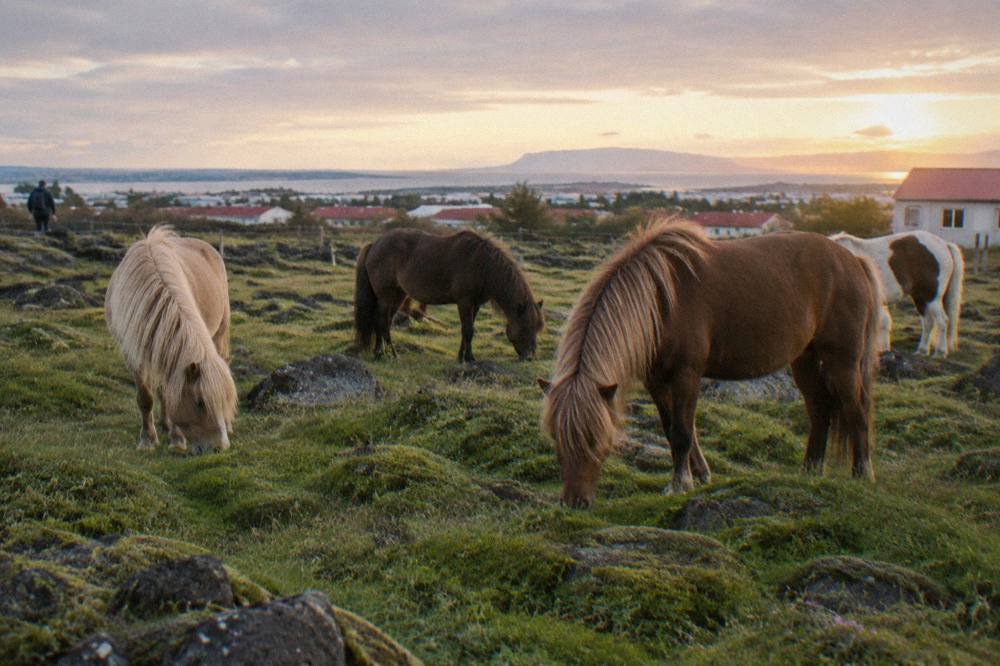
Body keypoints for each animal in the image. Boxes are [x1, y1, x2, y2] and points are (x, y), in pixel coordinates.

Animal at [105, 226, 237, 453]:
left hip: (220, 332)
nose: (219, 447)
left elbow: (169, 392)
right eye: (200, 402)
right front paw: (148, 440)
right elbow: (146, 397)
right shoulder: (133, 353)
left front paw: (177, 438)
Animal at [354, 228, 544, 362]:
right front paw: (468, 359)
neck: (483, 265)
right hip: (385, 296)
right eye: (526, 326)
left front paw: (463, 356)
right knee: (380, 320)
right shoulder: (464, 302)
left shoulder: (475, 304)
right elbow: (468, 330)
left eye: (537, 328)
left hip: (398, 295)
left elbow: (467, 330)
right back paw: (388, 354)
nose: (529, 357)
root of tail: (374, 244)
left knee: (384, 321)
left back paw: (382, 353)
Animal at [539, 221, 883, 508]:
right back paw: (810, 470)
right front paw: (700, 474)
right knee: (820, 409)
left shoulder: (687, 375)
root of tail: (853, 260)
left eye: (595, 438)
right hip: (805, 359)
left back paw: (862, 473)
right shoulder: (656, 380)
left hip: (842, 360)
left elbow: (682, 432)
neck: (661, 301)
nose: (574, 502)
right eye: (557, 439)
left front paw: (680, 484)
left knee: (856, 409)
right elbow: (671, 429)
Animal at [831, 231, 964, 357]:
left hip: (932, 297)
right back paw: (922, 351)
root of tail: (944, 244)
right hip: (920, 297)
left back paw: (940, 352)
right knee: (928, 322)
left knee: (942, 321)